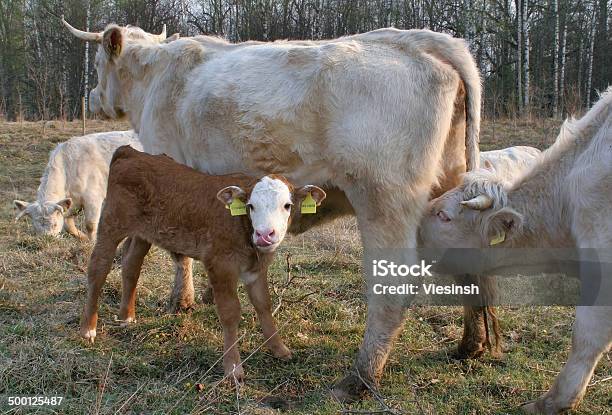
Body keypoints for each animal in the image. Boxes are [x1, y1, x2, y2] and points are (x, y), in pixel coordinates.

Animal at [63, 20, 482, 400]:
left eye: (97, 62)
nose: (92, 97)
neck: (156, 76)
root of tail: (422, 40)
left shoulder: (168, 162)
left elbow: (178, 252)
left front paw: (181, 300)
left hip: (384, 202)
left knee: (392, 291)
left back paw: (359, 378)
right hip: (450, 201)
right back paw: (471, 345)